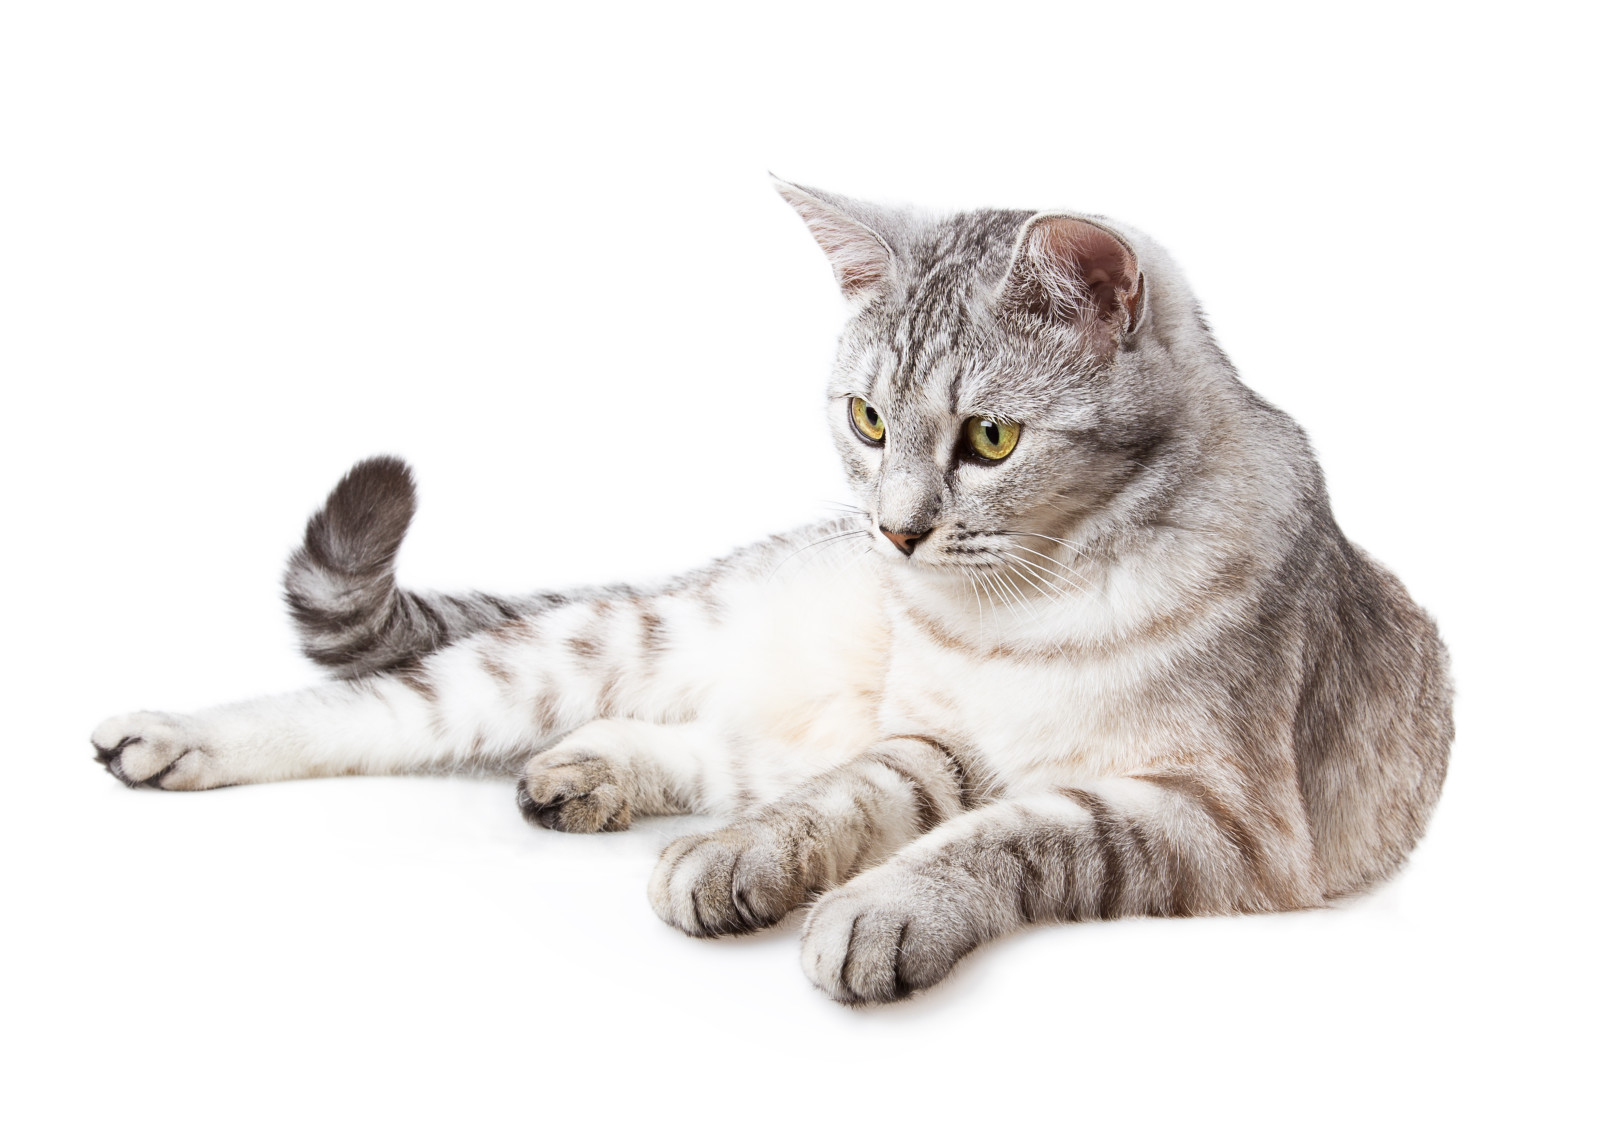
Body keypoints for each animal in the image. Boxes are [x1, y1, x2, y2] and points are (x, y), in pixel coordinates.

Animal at [93, 181, 1459, 1004]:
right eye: (866, 419)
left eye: (992, 439)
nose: (896, 530)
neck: (1021, 608)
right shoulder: (935, 741)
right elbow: (853, 796)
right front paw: (762, 860)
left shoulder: (1222, 820)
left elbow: (1017, 829)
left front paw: (876, 904)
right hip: (598, 642)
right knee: (374, 710)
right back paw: (172, 737)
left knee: (713, 750)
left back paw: (591, 774)